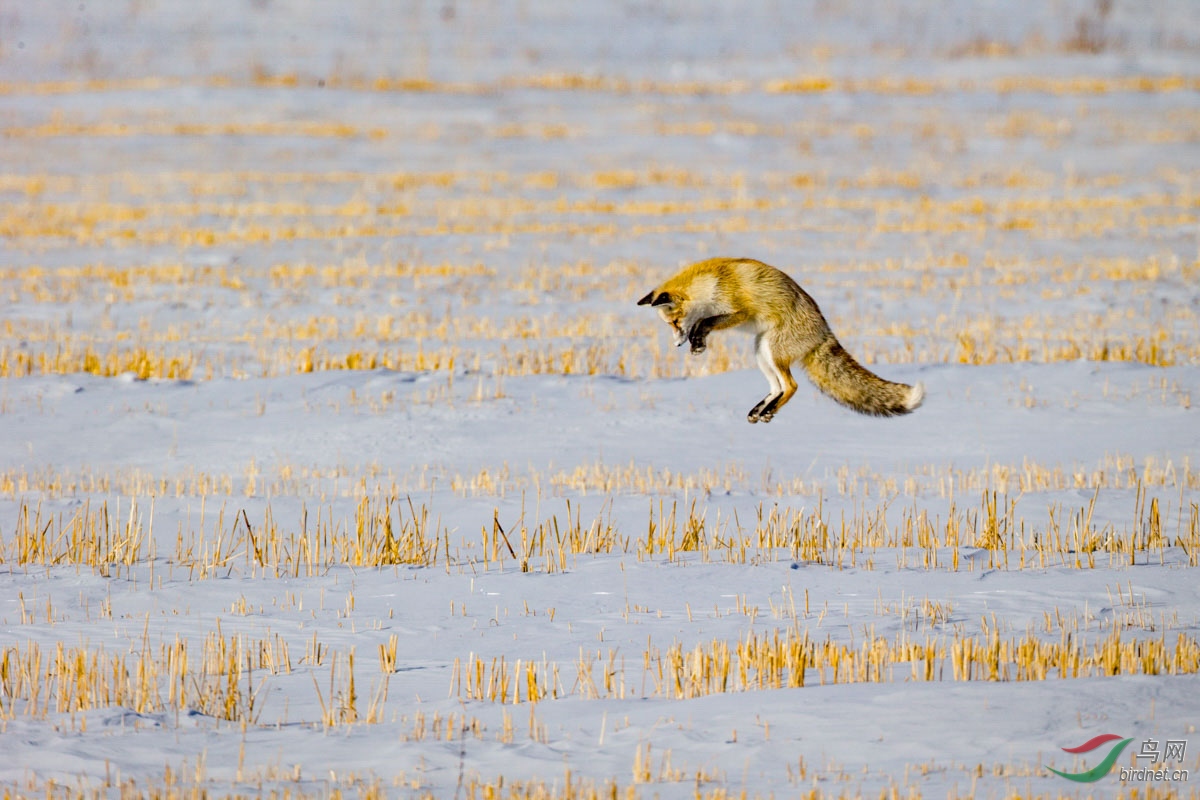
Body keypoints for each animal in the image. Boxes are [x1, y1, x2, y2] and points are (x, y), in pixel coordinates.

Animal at [638, 260, 926, 424]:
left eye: (675, 322)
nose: (676, 346)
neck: (711, 284)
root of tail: (824, 330)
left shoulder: (739, 311)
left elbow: (705, 322)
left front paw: (697, 341)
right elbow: (703, 324)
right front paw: (697, 344)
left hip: (773, 350)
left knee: (792, 385)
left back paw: (767, 410)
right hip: (761, 350)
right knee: (777, 387)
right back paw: (761, 410)